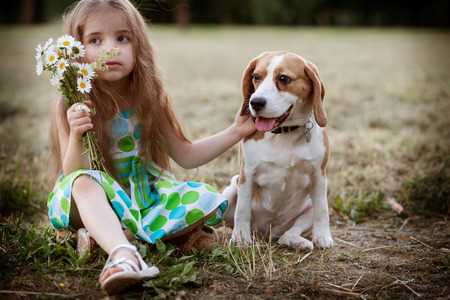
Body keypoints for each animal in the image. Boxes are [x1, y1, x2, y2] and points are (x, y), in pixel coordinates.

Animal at [224, 51, 334, 251]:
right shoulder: (246, 175)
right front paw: (240, 238)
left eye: (284, 78)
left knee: (287, 235)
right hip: (231, 189)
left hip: (309, 205)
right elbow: (242, 209)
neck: (284, 134)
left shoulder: (319, 177)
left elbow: (322, 210)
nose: (255, 102)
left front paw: (323, 236)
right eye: (256, 77)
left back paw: (296, 241)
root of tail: (265, 233)